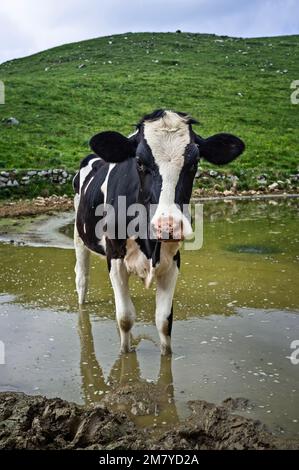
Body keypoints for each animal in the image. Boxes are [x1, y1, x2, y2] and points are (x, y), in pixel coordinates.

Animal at [73, 109, 246, 352]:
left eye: (194, 163)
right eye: (139, 161)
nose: (168, 225)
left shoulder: (172, 261)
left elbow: (164, 321)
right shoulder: (115, 257)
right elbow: (125, 317)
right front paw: (125, 354)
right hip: (79, 234)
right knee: (82, 278)